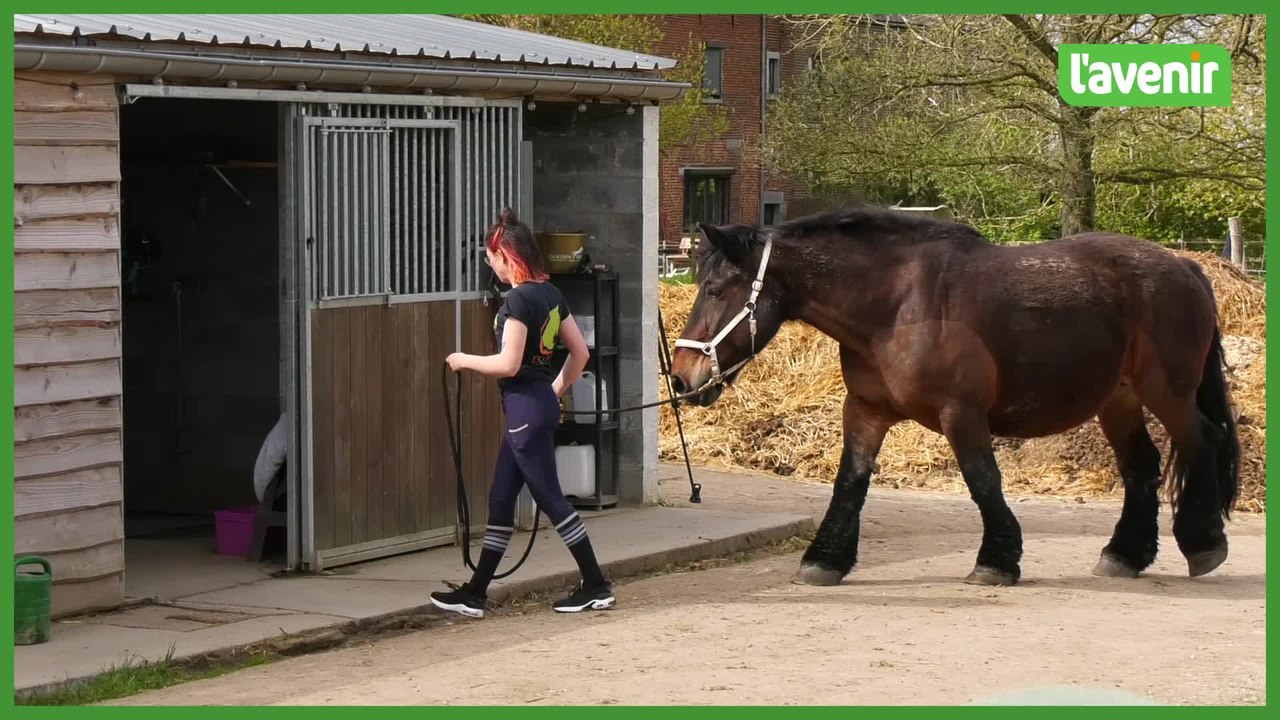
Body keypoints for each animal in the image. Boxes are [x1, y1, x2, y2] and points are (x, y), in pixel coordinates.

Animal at [668, 208, 1240, 587]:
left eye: (715, 290)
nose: (680, 378)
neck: (897, 307)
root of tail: (1187, 269)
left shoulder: (961, 414)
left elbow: (983, 481)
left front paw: (997, 560)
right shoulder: (866, 411)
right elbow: (850, 482)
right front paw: (825, 559)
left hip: (1167, 391)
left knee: (1202, 441)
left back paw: (1204, 543)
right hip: (1117, 401)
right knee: (1141, 466)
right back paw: (1125, 555)